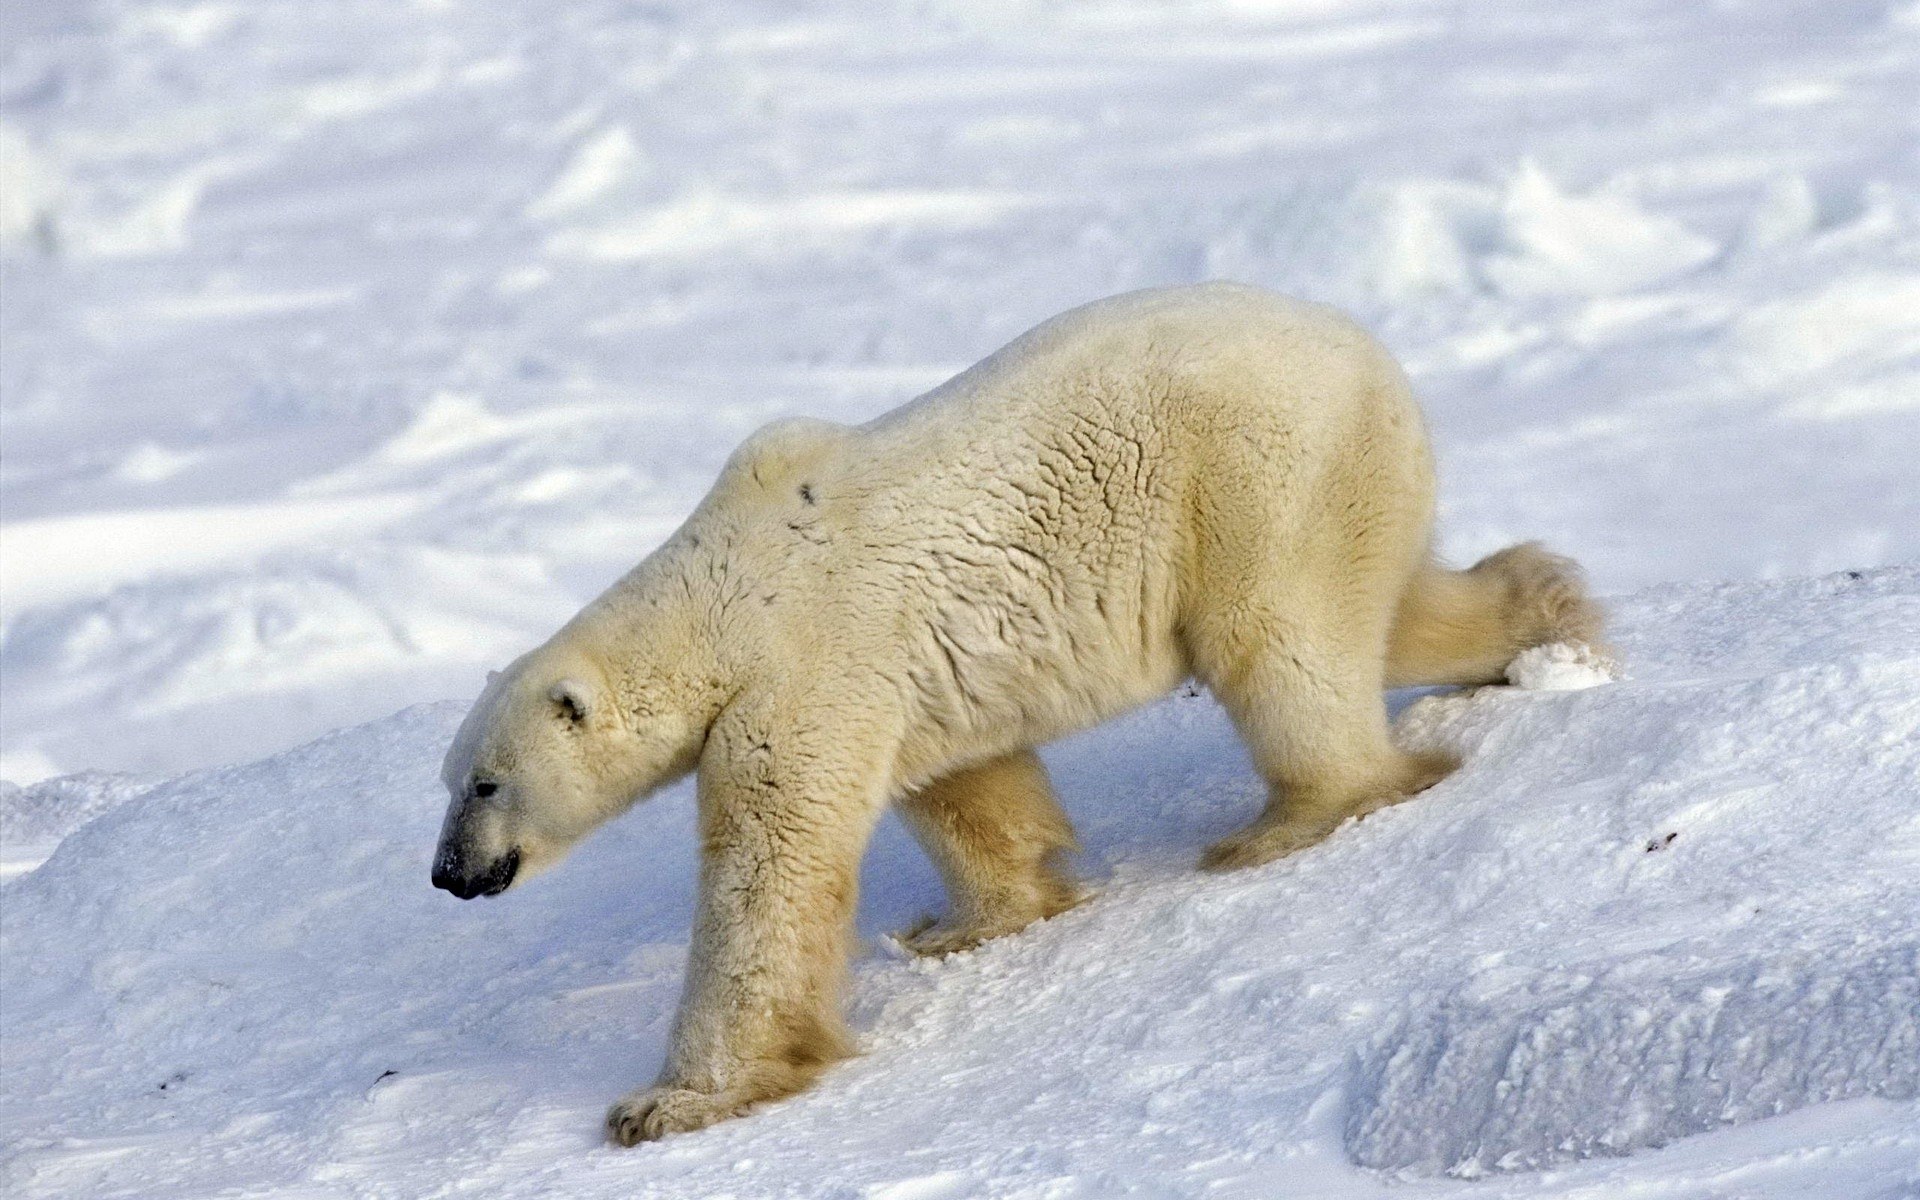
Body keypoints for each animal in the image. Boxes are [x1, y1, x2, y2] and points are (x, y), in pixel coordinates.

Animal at [430, 281, 1605, 1144]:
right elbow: (965, 786)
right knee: (1390, 607)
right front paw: (974, 922)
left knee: (1281, 642)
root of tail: (1375, 359)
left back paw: (1286, 824)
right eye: (450, 784)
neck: (720, 594)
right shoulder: (901, 674)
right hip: (1341, 489)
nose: (447, 874)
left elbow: (768, 873)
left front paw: (669, 1102)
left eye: (486, 782)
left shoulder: (807, 666)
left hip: (1254, 481)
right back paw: (1548, 617)